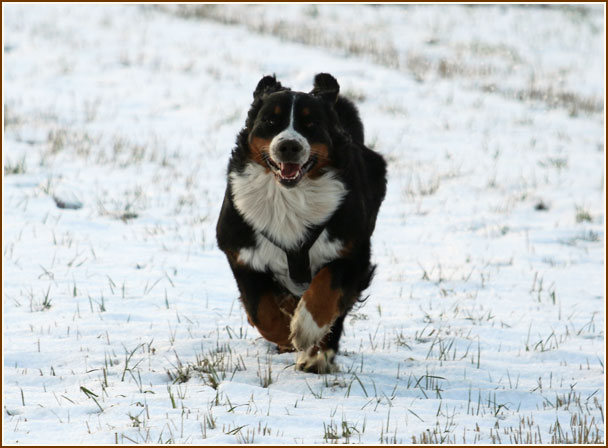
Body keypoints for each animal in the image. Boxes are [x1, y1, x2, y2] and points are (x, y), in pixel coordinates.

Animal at [216, 73, 387, 373]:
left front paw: (305, 330)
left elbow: (326, 291)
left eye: (311, 124)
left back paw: (317, 358)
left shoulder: (352, 251)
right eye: (270, 121)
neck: (289, 197)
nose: (289, 146)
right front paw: (286, 333)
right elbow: (260, 310)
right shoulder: (241, 252)